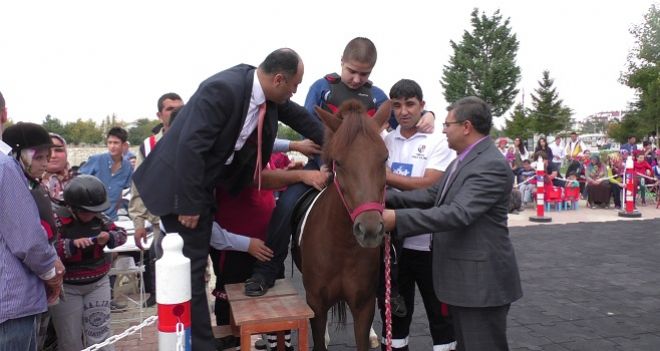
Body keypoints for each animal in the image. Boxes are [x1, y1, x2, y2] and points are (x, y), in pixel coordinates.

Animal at [296, 99, 390, 351]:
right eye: (338, 162)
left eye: (385, 159)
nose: (369, 230)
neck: (342, 246)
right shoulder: (316, 303)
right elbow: (319, 338)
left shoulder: (363, 304)